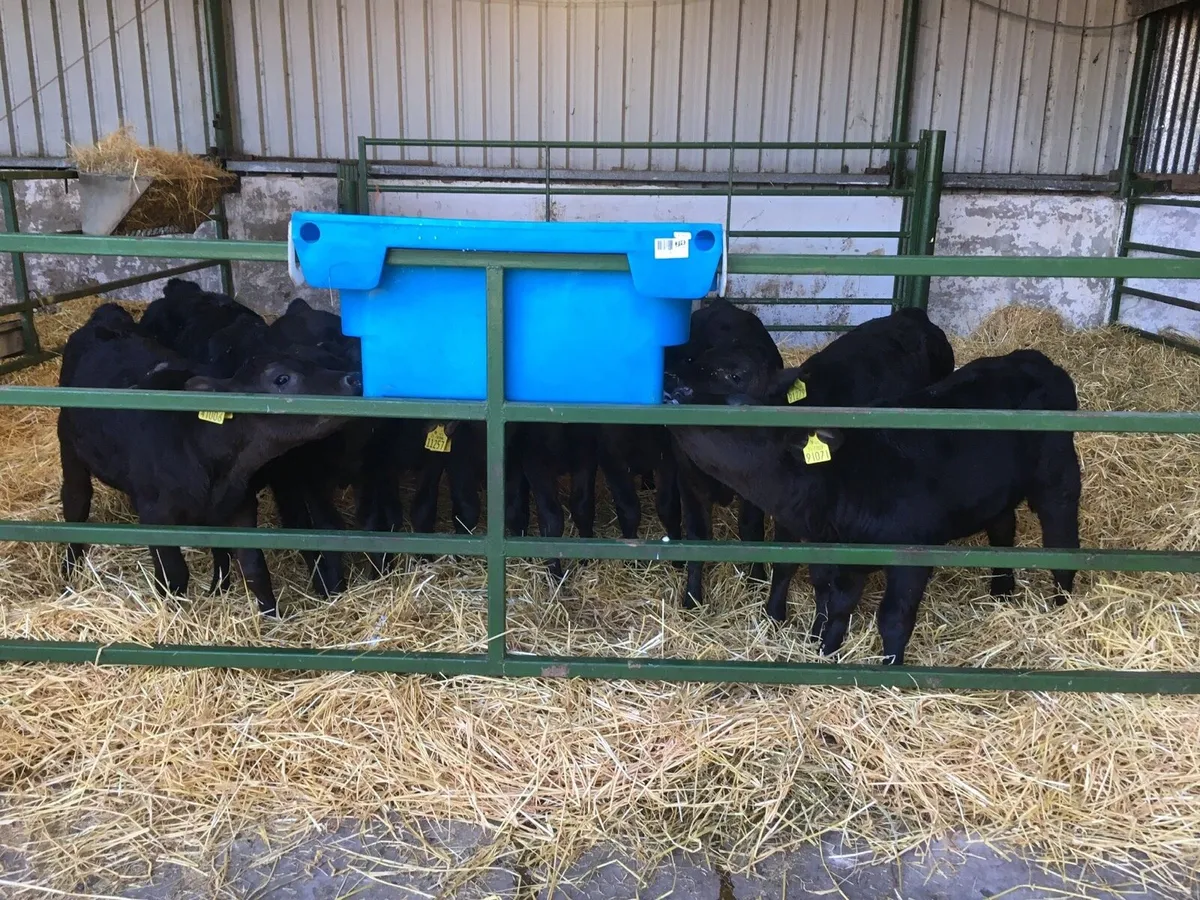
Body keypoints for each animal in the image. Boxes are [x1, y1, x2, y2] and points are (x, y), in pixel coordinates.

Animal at [58, 303, 361, 615]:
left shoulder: (239, 505)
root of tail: (104, 318)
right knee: (76, 502)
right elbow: (174, 575)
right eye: (281, 378)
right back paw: (69, 571)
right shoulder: (155, 515)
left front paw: (270, 616)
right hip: (69, 446)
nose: (354, 378)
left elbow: (253, 567)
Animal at [665, 347, 1082, 665]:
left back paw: (1062, 605)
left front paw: (889, 669)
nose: (674, 390)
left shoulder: (912, 552)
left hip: (1058, 477)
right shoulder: (835, 554)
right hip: (996, 491)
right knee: (1002, 526)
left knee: (1062, 540)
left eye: (738, 406)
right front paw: (825, 651)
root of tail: (1034, 358)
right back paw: (1001, 591)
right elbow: (834, 606)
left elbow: (893, 617)